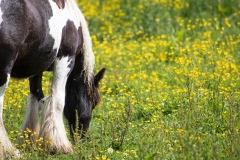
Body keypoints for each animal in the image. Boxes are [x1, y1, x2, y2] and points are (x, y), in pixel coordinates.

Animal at [0, 0, 105, 158]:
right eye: (93, 103)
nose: (84, 140)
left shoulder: (37, 65)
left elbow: (37, 98)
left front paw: (30, 142)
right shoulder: (65, 59)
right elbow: (58, 99)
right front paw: (58, 146)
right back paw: (9, 152)